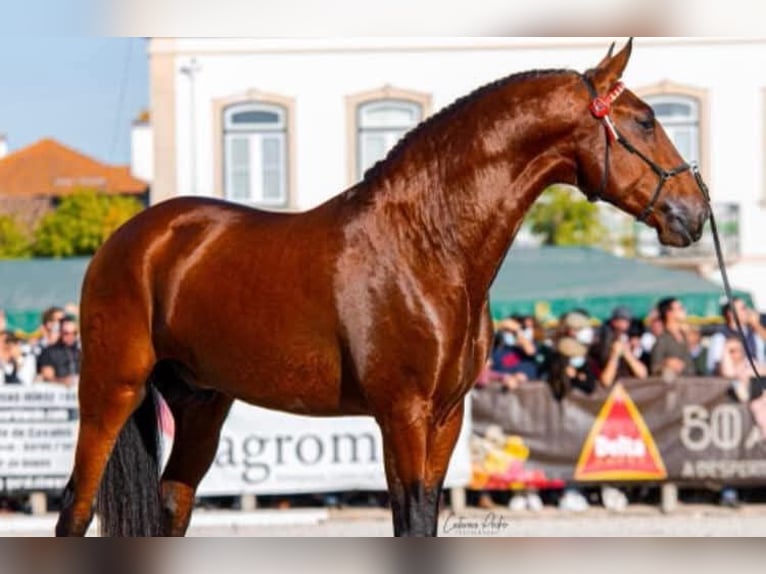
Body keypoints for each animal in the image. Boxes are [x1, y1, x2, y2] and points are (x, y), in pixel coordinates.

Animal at [55, 38, 710, 537]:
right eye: (647, 121)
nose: (694, 211)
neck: (428, 244)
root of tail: (127, 239)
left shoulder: (446, 417)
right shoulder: (403, 413)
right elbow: (409, 520)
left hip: (202, 402)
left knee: (173, 502)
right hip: (111, 388)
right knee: (75, 508)